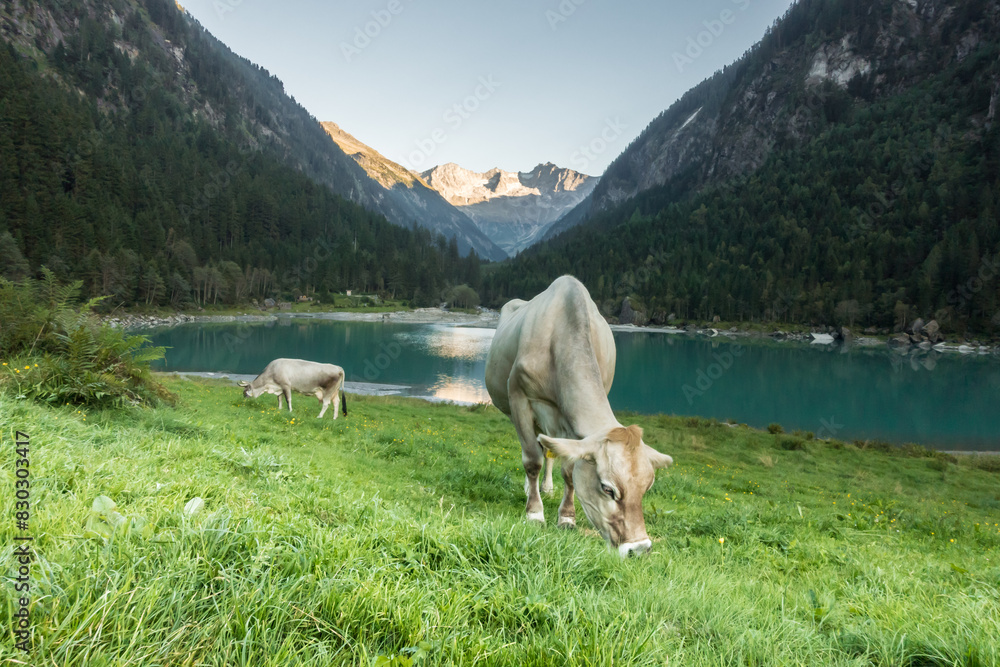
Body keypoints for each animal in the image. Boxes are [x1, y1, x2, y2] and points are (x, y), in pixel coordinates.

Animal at [484, 276, 672, 560]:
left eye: (646, 488)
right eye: (608, 488)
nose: (639, 549)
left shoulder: (571, 423)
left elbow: (569, 470)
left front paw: (566, 518)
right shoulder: (519, 397)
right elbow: (531, 461)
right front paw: (535, 513)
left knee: (548, 449)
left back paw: (547, 488)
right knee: (534, 450)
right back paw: (531, 490)